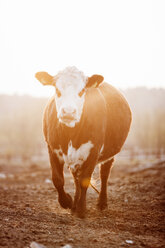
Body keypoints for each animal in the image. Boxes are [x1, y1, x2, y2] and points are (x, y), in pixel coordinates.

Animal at [35, 67, 132, 218]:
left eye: (82, 91)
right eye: (57, 89)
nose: (68, 112)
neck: (70, 133)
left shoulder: (93, 150)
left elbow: (85, 180)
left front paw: (81, 209)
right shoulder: (52, 148)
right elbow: (57, 179)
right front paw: (67, 202)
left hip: (109, 153)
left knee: (104, 174)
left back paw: (101, 203)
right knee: (76, 178)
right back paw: (74, 204)